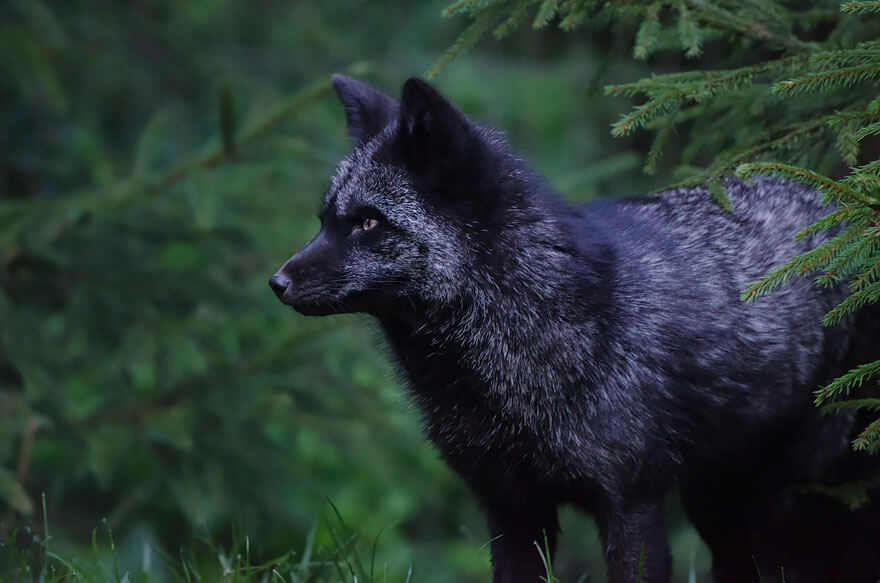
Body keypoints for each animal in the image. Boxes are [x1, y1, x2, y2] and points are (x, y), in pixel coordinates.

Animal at [270, 76, 880, 583]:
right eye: (324, 220)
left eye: (370, 222)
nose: (276, 282)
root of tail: (845, 204)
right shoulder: (511, 508)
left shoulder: (630, 504)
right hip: (715, 498)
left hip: (792, 495)